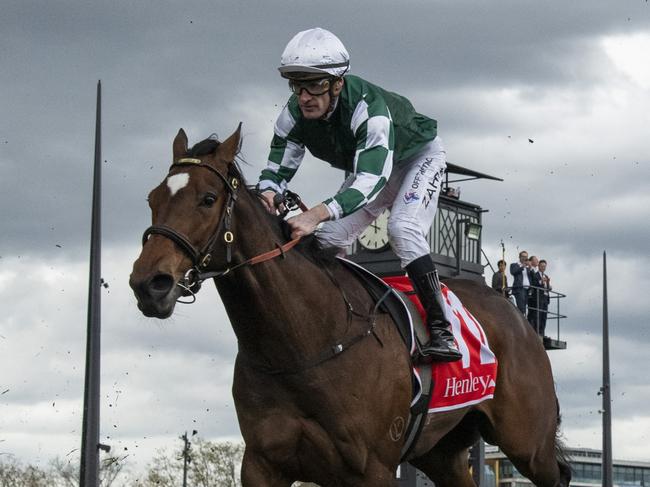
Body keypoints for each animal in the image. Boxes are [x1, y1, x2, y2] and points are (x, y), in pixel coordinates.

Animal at [129, 127, 568, 487]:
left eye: (207, 199)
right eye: (151, 198)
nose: (148, 283)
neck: (304, 344)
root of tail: (514, 311)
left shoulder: (371, 468)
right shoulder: (262, 464)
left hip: (528, 442)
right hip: (442, 451)